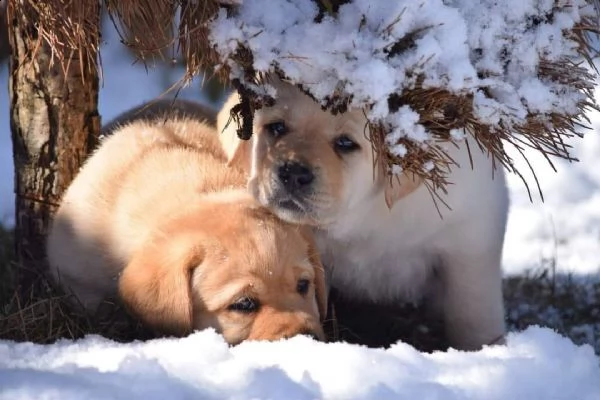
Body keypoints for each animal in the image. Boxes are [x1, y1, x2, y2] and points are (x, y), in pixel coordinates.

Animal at [218, 79, 508, 352]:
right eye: (277, 127)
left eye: (346, 143)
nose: (293, 172)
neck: (365, 216)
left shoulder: (470, 242)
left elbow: (473, 313)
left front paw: (483, 349)